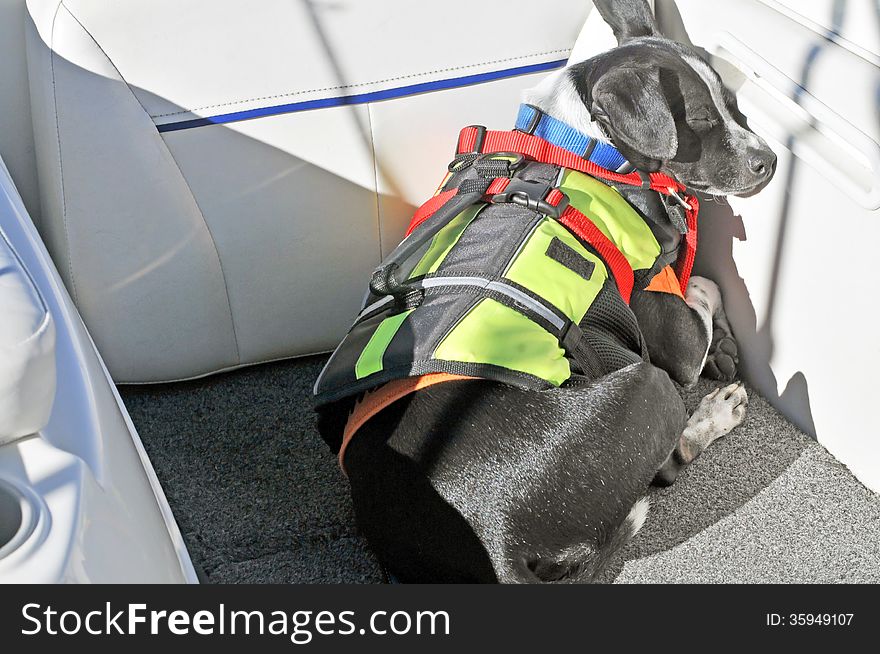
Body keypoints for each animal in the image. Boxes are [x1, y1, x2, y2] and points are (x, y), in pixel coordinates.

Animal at [316, 0, 776, 584]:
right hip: (649, 384)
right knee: (667, 465)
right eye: (699, 121)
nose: (771, 161)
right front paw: (718, 336)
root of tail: (496, 541)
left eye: (736, 106)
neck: (586, 147)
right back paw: (717, 413)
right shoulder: (671, 339)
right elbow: (704, 286)